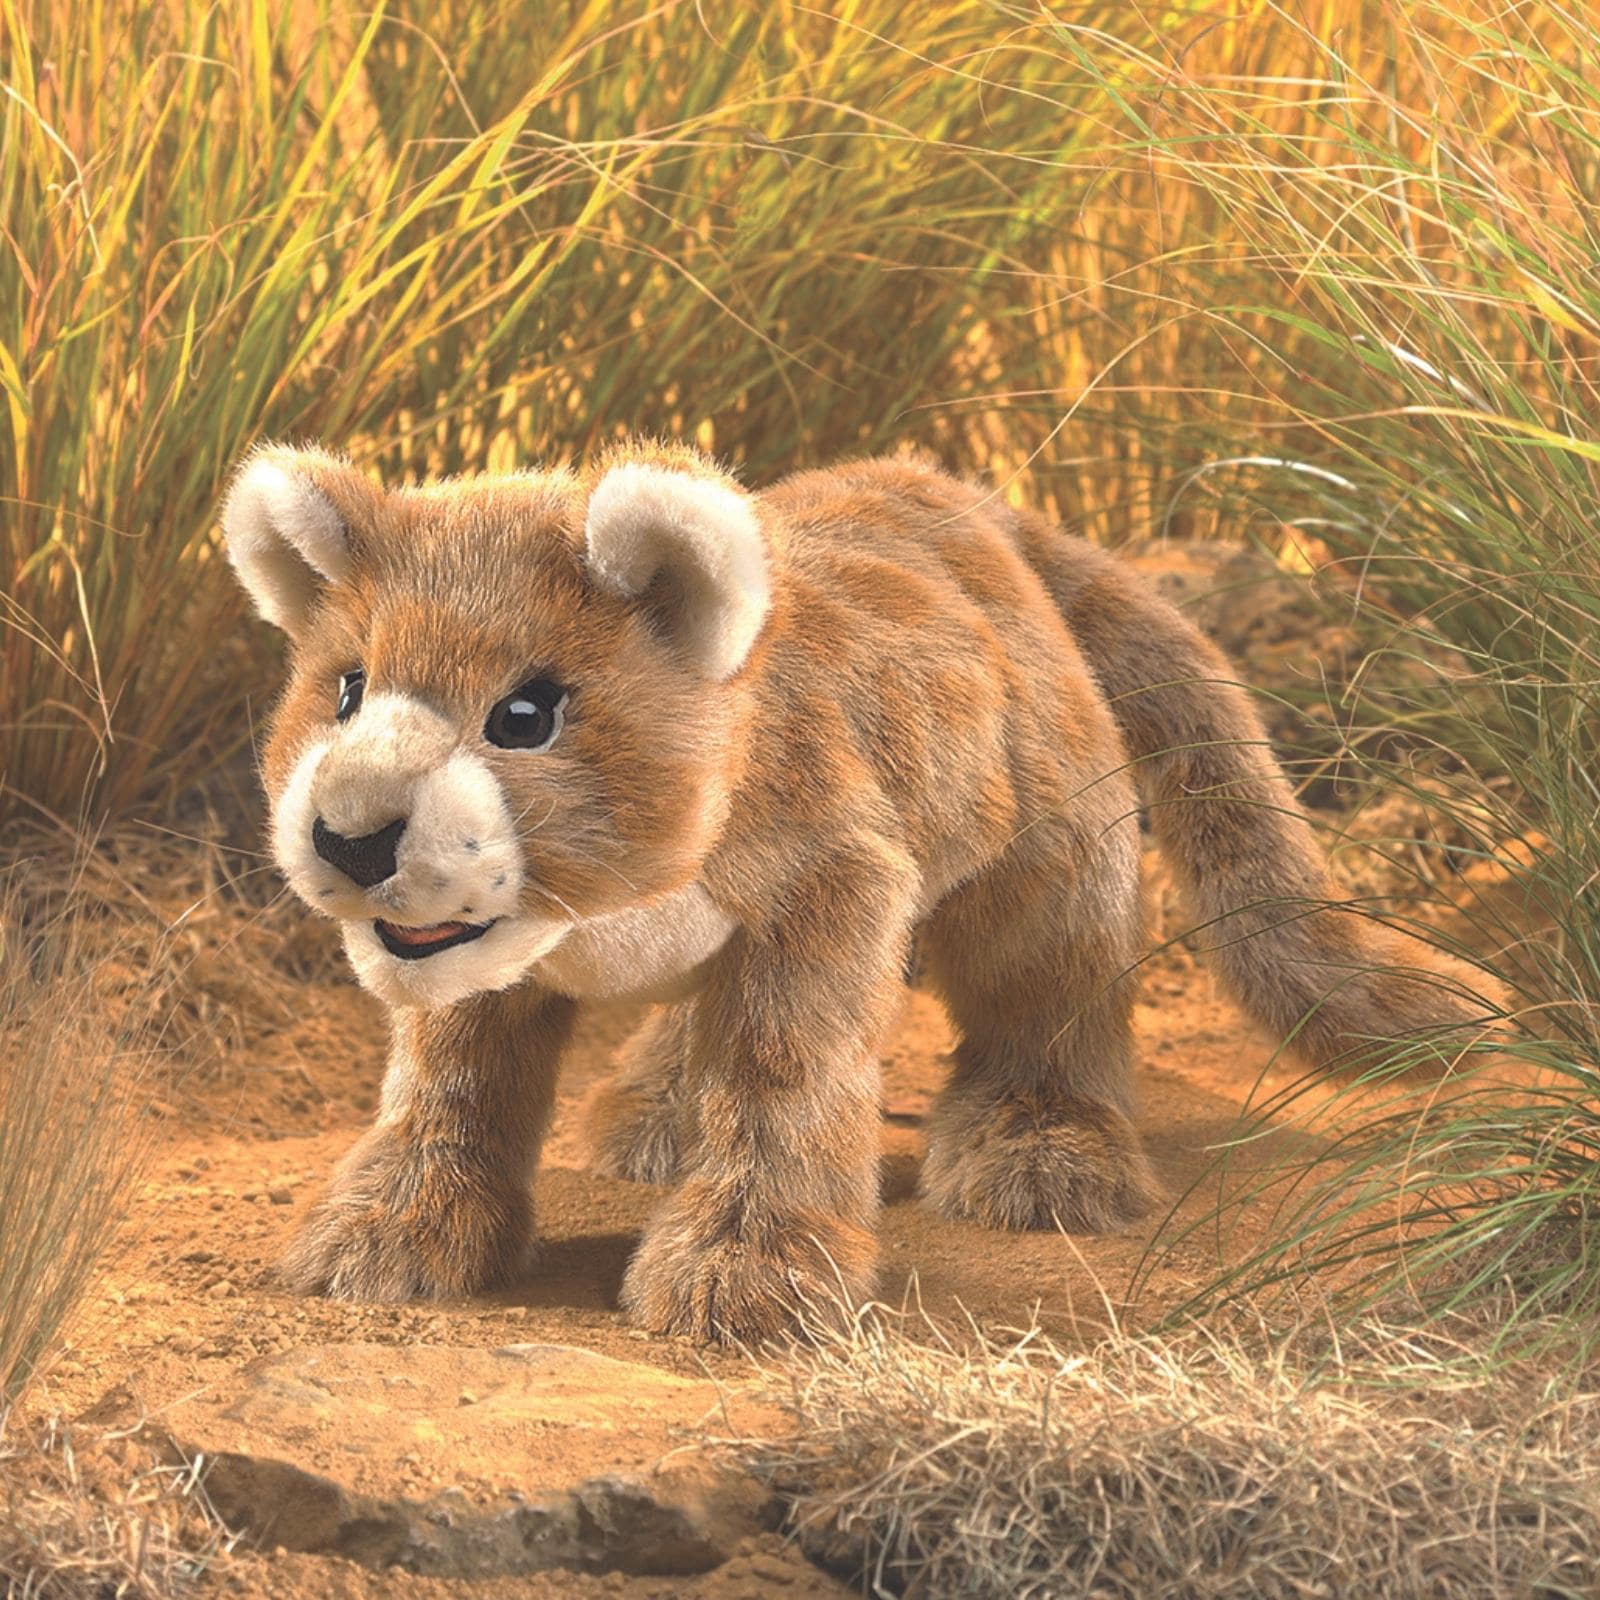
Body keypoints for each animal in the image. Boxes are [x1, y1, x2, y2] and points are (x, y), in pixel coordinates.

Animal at [220, 439, 1487, 1344]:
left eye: (524, 715)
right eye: (346, 689)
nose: (351, 834)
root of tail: (959, 491)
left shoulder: (827, 886)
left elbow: (785, 1073)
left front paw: (745, 1273)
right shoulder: (476, 957)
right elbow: (454, 1090)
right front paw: (389, 1234)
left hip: (1049, 857)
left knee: (1049, 996)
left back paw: (1041, 1158)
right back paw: (652, 1119)